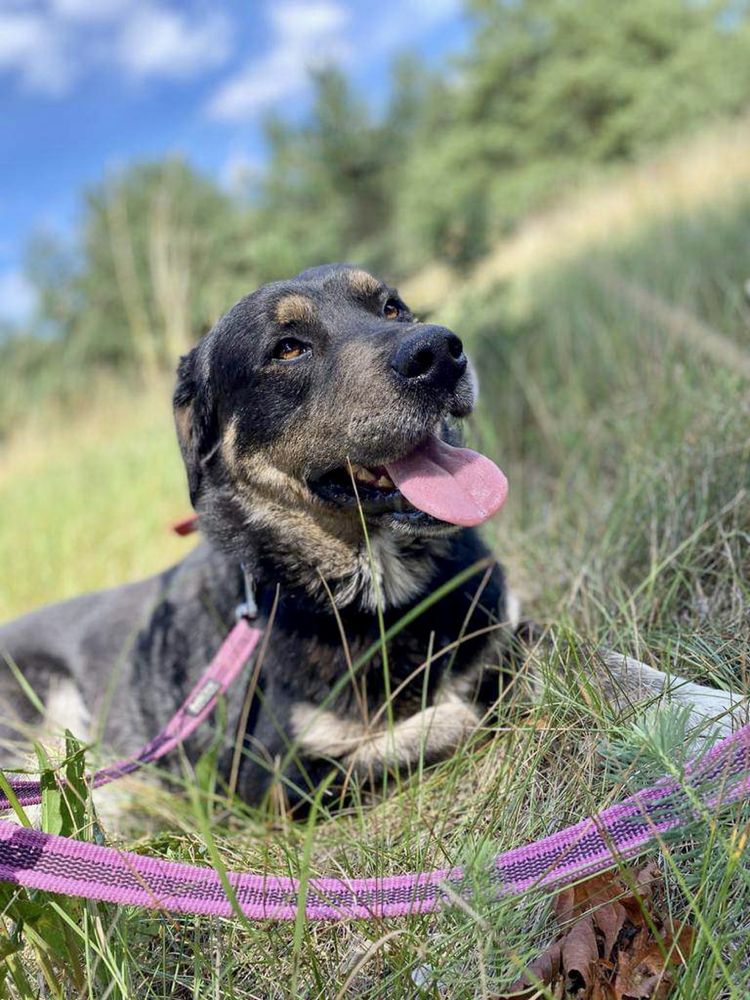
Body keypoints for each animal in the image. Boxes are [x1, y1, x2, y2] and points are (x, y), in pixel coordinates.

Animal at [0, 262, 744, 808]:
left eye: (392, 308)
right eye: (288, 348)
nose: (440, 351)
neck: (378, 592)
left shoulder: (501, 621)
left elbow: (574, 650)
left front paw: (705, 707)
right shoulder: (275, 781)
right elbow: (429, 723)